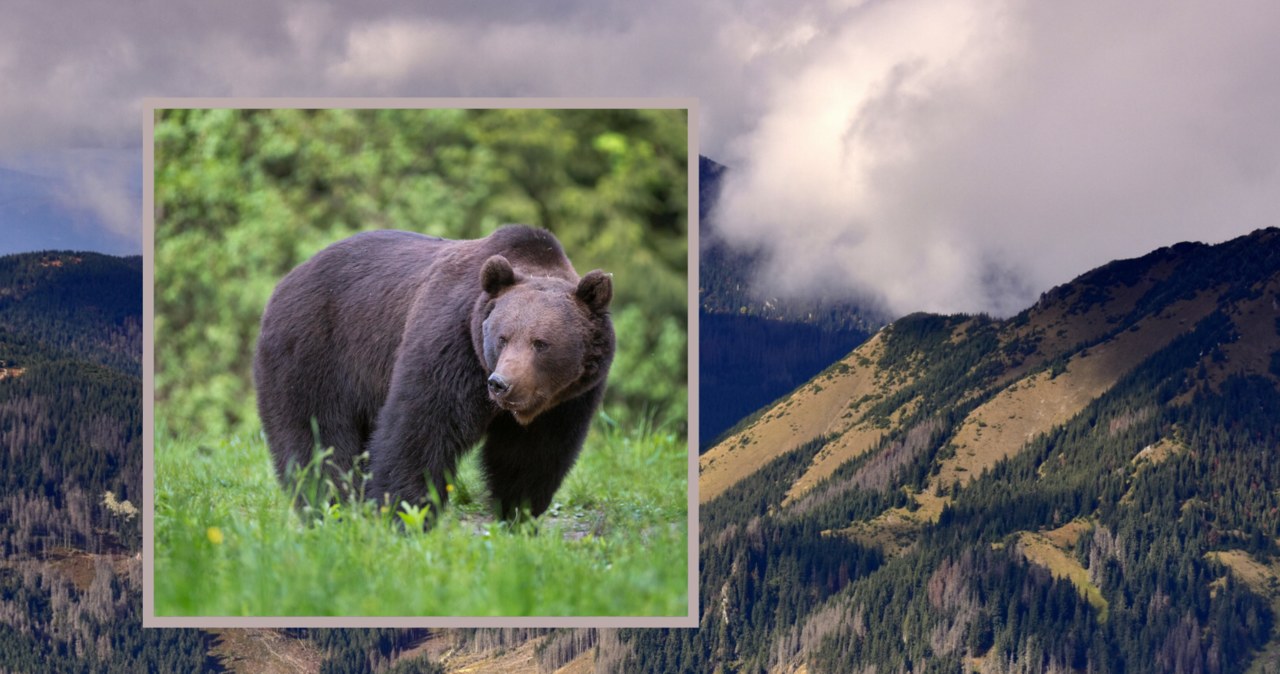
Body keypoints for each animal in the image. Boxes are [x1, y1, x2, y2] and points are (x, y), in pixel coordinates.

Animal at [253, 226, 614, 521]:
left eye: (541, 343)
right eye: (502, 337)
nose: (501, 384)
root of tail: (284, 281)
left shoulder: (567, 399)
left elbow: (533, 455)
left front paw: (519, 513)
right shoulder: (452, 343)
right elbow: (422, 428)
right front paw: (405, 512)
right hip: (315, 352)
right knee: (318, 437)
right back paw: (330, 505)